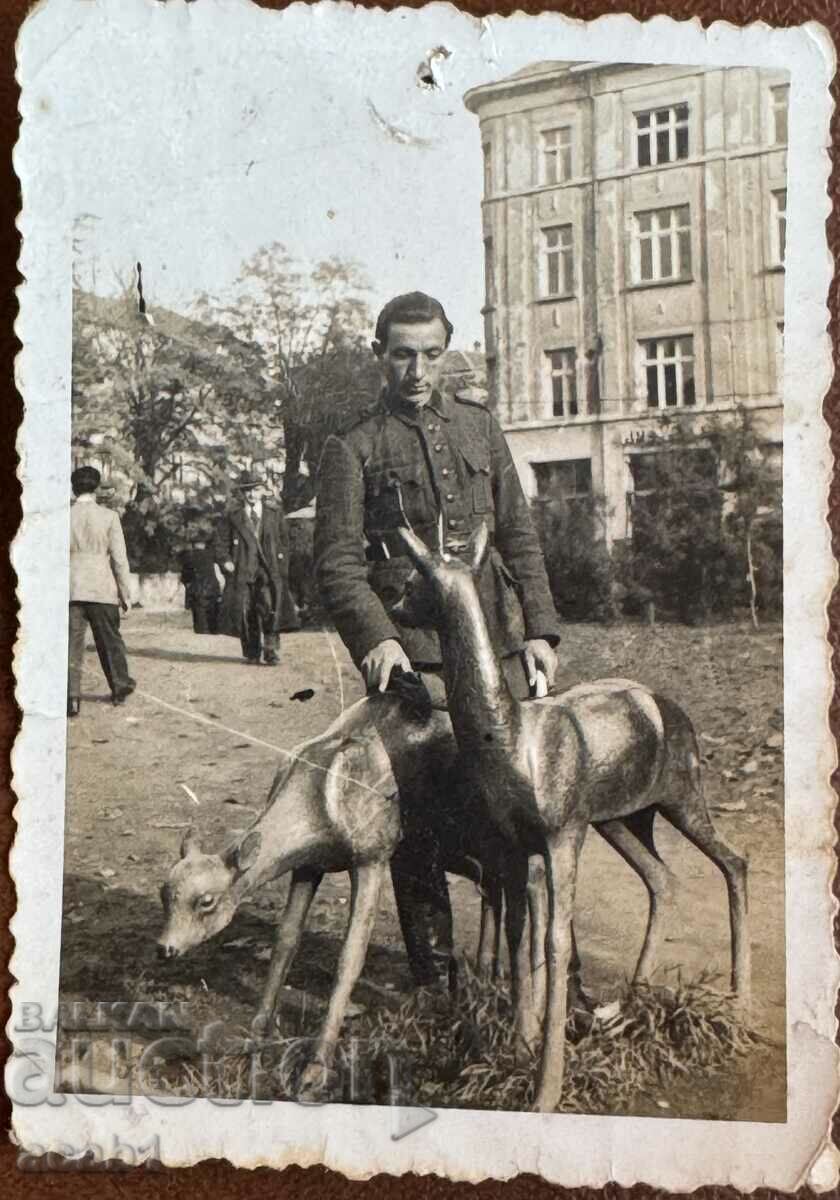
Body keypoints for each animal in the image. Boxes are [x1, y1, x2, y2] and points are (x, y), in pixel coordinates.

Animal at [396, 525, 753, 1113]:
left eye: (412, 581)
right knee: (663, 878)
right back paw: (629, 1008)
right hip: (624, 820)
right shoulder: (514, 845)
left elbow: (557, 939)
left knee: (735, 862)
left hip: (679, 799)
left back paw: (738, 1001)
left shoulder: (561, 835)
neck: (516, 740)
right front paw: (519, 1050)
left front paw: (547, 1090)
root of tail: (671, 709)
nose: (398, 608)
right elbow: (519, 935)